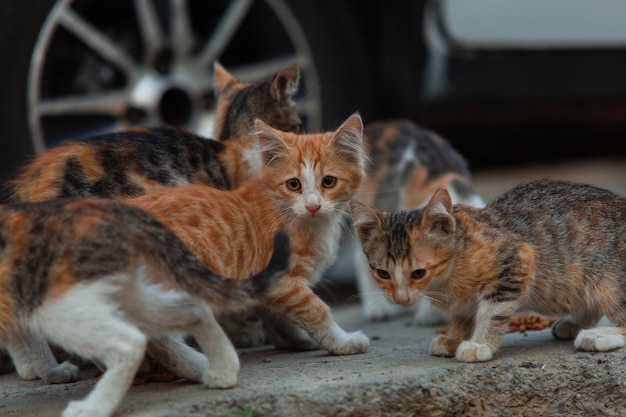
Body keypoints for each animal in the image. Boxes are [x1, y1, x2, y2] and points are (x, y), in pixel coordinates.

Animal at [0, 197, 290, 416]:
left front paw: (48, 371)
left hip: (56, 304)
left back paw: (93, 408)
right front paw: (34, 369)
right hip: (118, 294)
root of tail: (107, 206)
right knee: (191, 309)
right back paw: (222, 371)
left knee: (129, 342)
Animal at [123, 113, 368, 354]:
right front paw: (342, 341)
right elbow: (315, 310)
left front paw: (299, 338)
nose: (313, 206)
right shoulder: (280, 278)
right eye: (293, 184)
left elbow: (279, 316)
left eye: (329, 181)